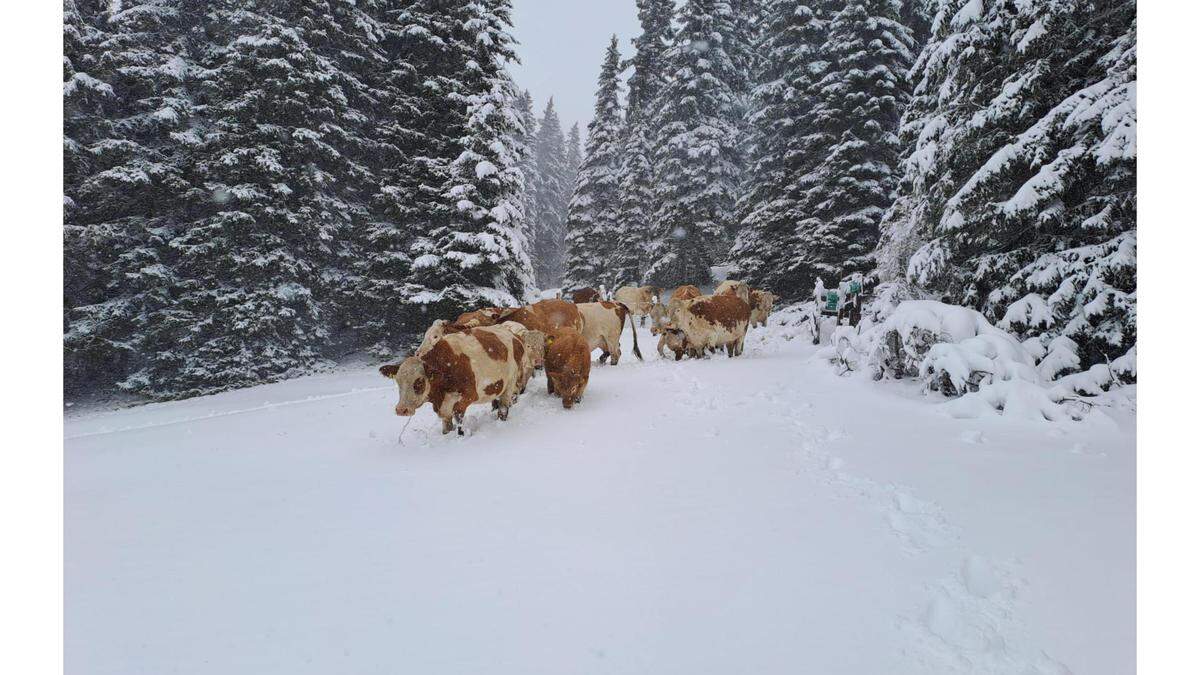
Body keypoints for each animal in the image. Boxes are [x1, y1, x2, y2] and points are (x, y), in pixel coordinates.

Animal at [374, 326, 525, 437]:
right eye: (398, 381)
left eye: (419, 382)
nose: (401, 410)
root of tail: (513, 335)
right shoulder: (443, 407)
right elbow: (446, 428)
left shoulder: (466, 398)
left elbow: (459, 423)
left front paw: (461, 436)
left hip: (510, 384)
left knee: (504, 408)